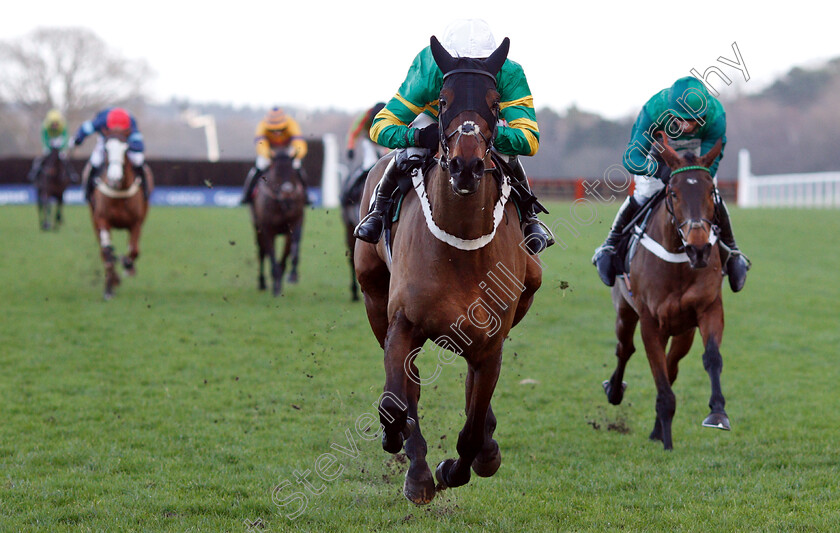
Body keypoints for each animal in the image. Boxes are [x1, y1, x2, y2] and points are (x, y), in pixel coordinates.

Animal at [89, 133, 153, 300]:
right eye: (106, 149)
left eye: (125, 150)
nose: (114, 178)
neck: (119, 193)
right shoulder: (102, 219)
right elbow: (107, 252)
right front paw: (109, 289)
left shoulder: (136, 223)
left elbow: (134, 250)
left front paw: (127, 264)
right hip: (94, 220)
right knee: (104, 251)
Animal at [251, 153, 306, 296]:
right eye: (276, 173)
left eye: (292, 172)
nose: (287, 194)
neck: (282, 204)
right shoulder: (267, 229)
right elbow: (271, 254)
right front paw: (275, 287)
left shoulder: (293, 225)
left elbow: (290, 252)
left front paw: (289, 276)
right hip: (257, 228)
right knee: (261, 253)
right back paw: (262, 283)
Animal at [352, 36, 540, 502]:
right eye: (442, 99)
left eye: (495, 103)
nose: (466, 165)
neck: (461, 249)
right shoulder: (402, 324)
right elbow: (395, 402)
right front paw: (410, 459)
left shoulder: (491, 343)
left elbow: (471, 427)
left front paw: (462, 464)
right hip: (372, 296)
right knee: (410, 388)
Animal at [604, 136, 728, 448]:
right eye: (673, 193)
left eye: (711, 193)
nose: (699, 248)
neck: (679, 263)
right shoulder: (650, 322)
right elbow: (659, 379)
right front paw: (667, 444)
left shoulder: (708, 309)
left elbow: (711, 357)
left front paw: (718, 413)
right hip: (625, 312)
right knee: (625, 348)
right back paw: (614, 391)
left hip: (683, 331)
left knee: (672, 366)